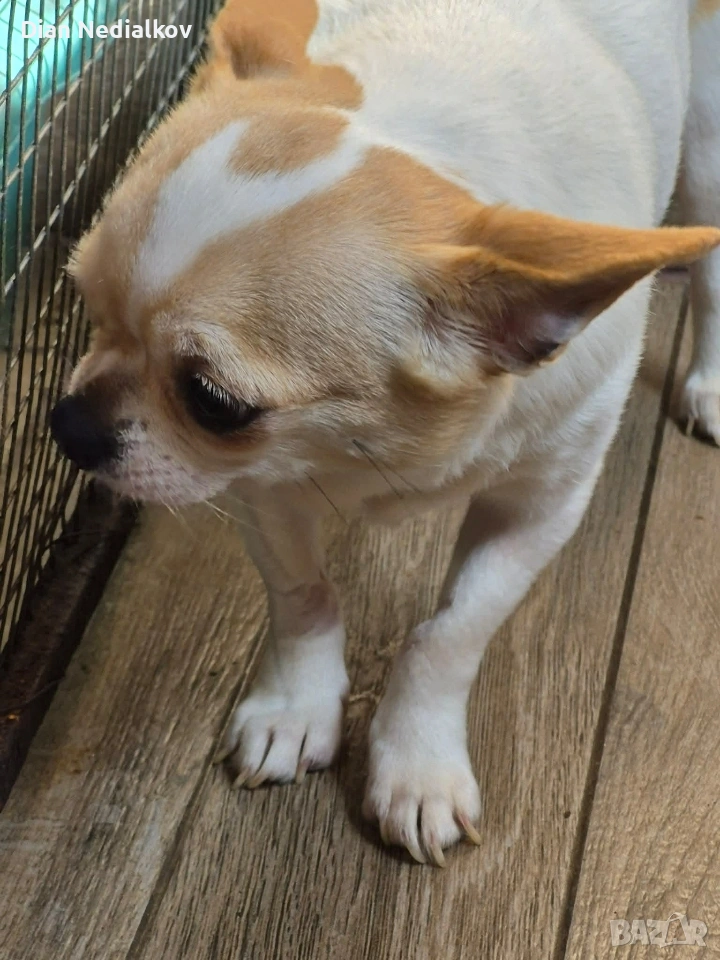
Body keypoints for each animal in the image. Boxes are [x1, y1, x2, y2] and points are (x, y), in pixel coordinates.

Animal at [51, 0, 720, 865]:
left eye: (213, 402)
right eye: (82, 301)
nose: (68, 424)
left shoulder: (539, 508)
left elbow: (450, 633)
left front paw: (418, 765)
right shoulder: (267, 487)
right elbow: (302, 594)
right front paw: (295, 708)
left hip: (708, 149)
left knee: (711, 274)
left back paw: (708, 380)